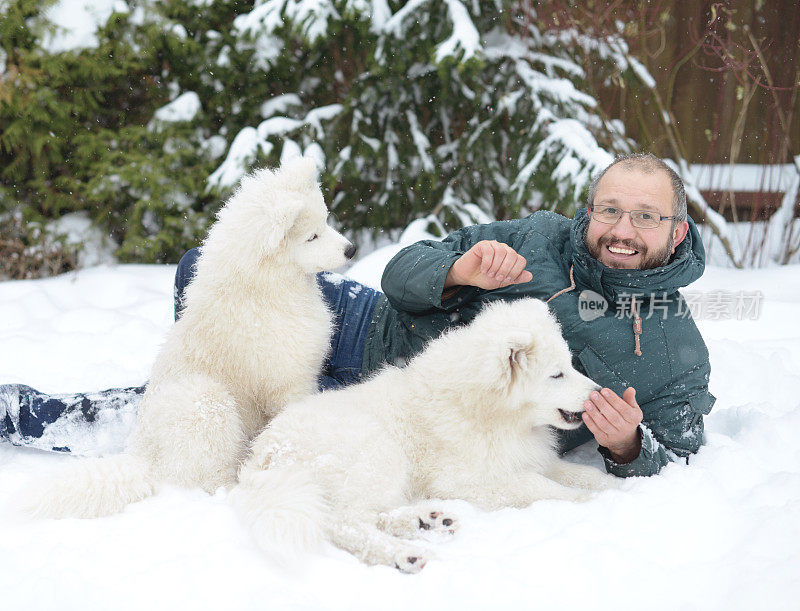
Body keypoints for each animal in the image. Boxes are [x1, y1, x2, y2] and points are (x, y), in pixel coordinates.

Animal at [20, 155, 354, 520]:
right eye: (312, 236)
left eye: (326, 220)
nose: (352, 250)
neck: (262, 289)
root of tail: (141, 460)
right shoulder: (288, 382)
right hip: (206, 400)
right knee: (206, 479)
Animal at [231, 298, 620, 572]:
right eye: (556, 374)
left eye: (570, 365)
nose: (600, 392)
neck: (492, 413)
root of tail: (263, 455)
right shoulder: (469, 479)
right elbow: (540, 487)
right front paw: (586, 502)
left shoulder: (531, 457)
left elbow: (579, 474)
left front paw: (617, 488)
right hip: (377, 452)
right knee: (343, 521)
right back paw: (404, 555)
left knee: (363, 514)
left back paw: (426, 521)